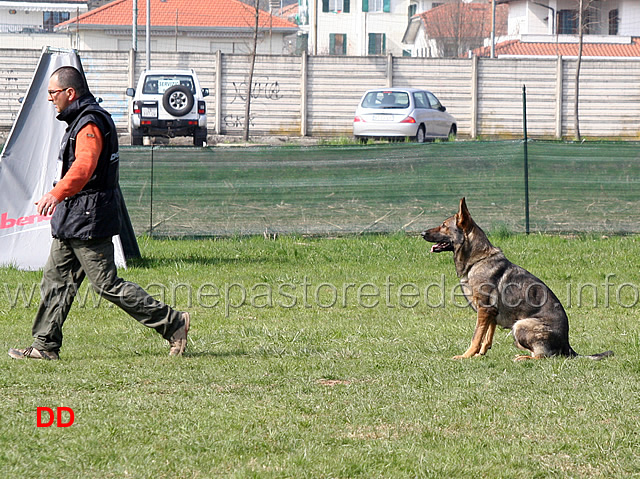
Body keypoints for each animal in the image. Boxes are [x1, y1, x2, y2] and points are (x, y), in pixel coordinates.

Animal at [422, 198, 612, 360]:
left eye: (444, 225)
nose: (422, 232)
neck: (477, 260)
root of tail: (567, 345)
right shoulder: (491, 313)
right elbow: (487, 336)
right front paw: (480, 354)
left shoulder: (484, 310)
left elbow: (476, 336)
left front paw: (466, 356)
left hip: (520, 325)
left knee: (543, 356)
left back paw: (524, 357)